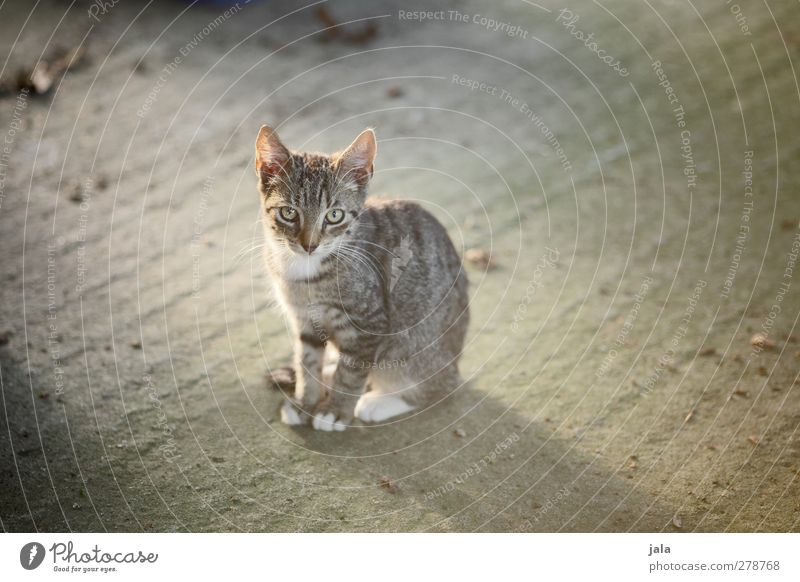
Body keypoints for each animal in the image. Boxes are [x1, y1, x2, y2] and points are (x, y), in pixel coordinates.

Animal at [256, 124, 468, 434]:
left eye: (334, 215)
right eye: (289, 213)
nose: (310, 245)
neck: (306, 272)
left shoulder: (369, 322)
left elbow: (352, 371)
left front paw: (335, 411)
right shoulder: (304, 319)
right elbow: (307, 360)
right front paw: (305, 400)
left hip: (412, 347)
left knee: (442, 385)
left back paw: (378, 402)